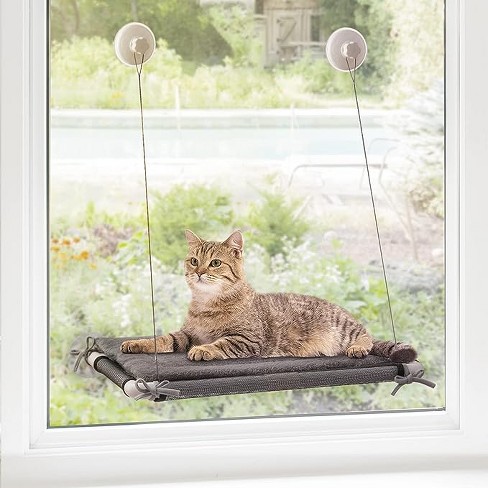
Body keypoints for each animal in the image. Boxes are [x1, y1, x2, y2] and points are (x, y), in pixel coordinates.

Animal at [121, 230, 416, 362]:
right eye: (194, 261)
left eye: (215, 263)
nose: (199, 272)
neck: (206, 304)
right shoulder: (186, 334)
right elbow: (163, 339)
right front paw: (138, 343)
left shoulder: (246, 340)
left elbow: (220, 343)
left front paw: (204, 349)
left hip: (345, 328)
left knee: (366, 335)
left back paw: (358, 347)